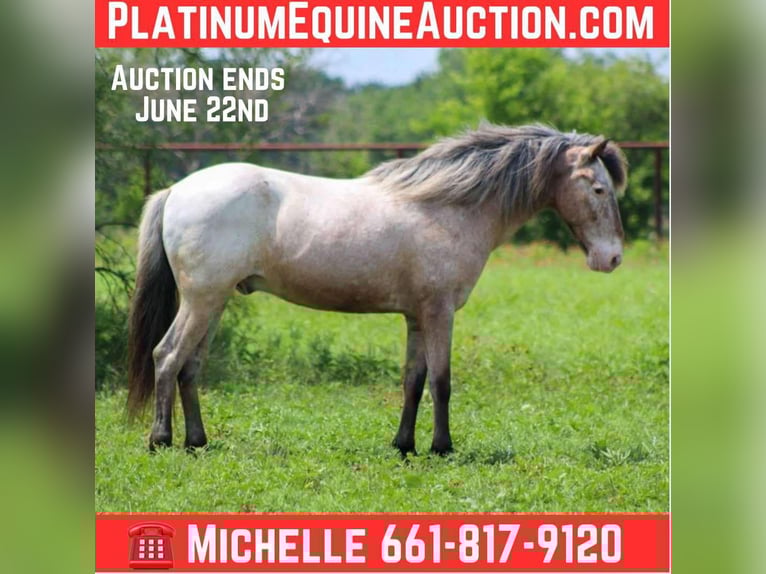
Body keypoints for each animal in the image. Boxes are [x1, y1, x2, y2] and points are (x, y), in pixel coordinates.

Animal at [126, 123, 627, 455]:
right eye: (599, 190)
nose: (613, 259)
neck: (449, 206)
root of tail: (177, 190)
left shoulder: (417, 316)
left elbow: (413, 380)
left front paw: (404, 445)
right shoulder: (440, 312)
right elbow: (441, 381)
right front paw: (442, 447)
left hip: (215, 302)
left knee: (190, 367)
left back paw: (197, 441)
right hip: (202, 301)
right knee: (167, 357)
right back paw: (161, 440)